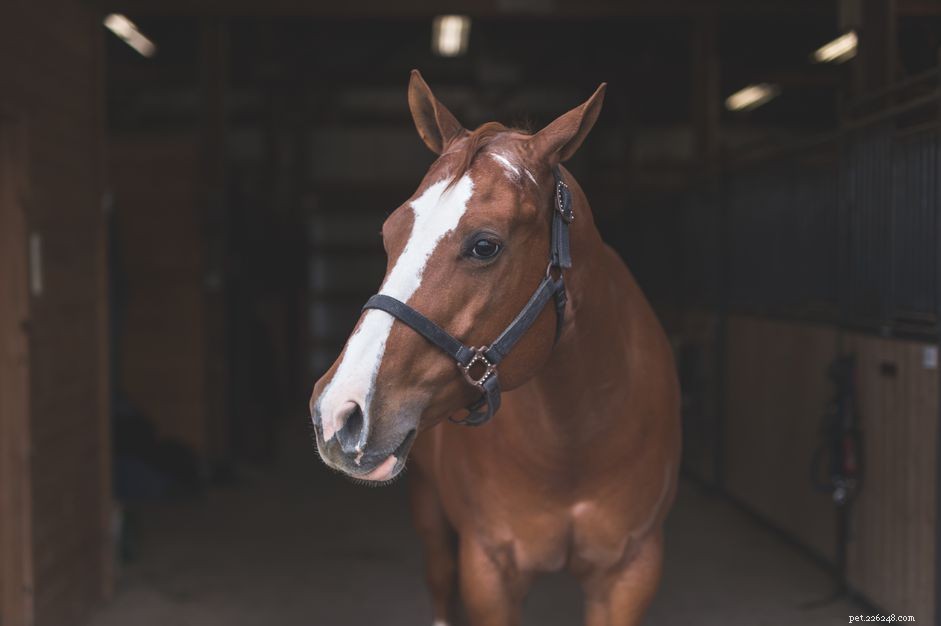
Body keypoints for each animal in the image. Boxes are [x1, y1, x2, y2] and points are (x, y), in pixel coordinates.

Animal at [310, 70, 681, 626]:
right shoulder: (489, 572)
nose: (338, 413)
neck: (576, 442)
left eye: (485, 245)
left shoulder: (629, 574)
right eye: (390, 232)